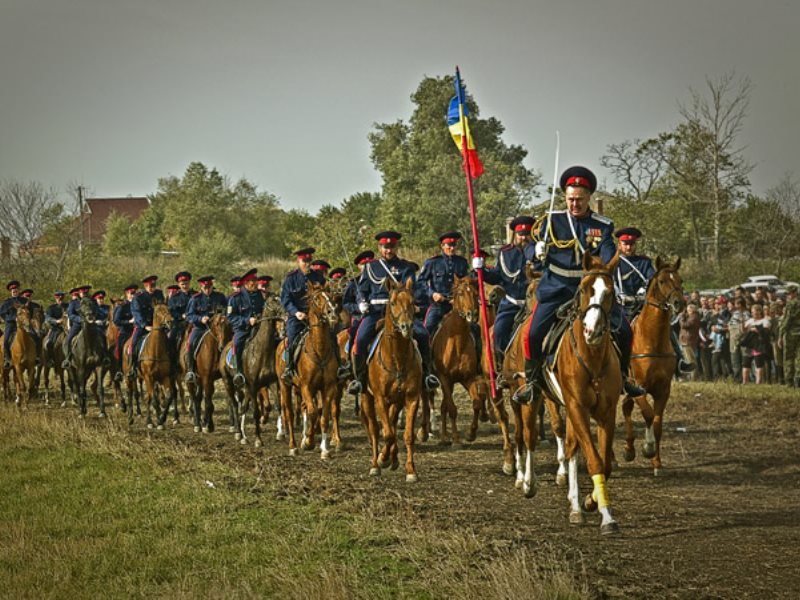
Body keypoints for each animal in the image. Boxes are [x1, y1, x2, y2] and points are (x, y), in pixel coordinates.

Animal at [217, 296, 282, 446]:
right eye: (272, 302)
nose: (285, 313)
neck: (262, 351)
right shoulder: (253, 386)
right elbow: (256, 412)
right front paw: (258, 439)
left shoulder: (272, 382)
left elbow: (278, 406)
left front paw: (280, 434)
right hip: (229, 383)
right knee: (236, 406)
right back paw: (238, 433)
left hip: (244, 387)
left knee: (243, 407)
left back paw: (244, 437)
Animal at [276, 282, 340, 460]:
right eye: (316, 299)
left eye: (330, 296)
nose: (332, 313)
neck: (319, 350)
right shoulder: (306, 386)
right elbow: (312, 413)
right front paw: (308, 442)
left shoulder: (328, 387)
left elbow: (323, 416)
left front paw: (325, 450)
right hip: (285, 386)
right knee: (289, 413)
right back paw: (293, 446)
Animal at [360, 278, 424, 482]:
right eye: (394, 302)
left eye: (412, 302)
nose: (406, 327)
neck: (397, 358)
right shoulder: (380, 398)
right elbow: (386, 434)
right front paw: (382, 459)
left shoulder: (411, 398)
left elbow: (407, 435)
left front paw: (410, 470)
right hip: (367, 398)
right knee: (375, 430)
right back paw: (376, 463)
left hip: (396, 401)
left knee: (393, 424)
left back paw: (393, 458)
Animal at [544, 252, 624, 536]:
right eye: (584, 289)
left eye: (609, 292)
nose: (592, 330)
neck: (592, 359)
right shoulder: (577, 407)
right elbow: (593, 460)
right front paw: (603, 514)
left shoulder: (606, 412)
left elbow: (605, 462)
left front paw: (595, 502)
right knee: (571, 449)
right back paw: (575, 506)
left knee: (572, 447)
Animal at [624, 255, 688, 476]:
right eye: (661, 281)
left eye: (680, 280)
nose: (679, 303)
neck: (652, 340)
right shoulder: (639, 387)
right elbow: (648, 414)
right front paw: (648, 448)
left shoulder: (663, 390)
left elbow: (658, 423)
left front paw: (657, 463)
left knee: (625, 408)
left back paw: (628, 449)